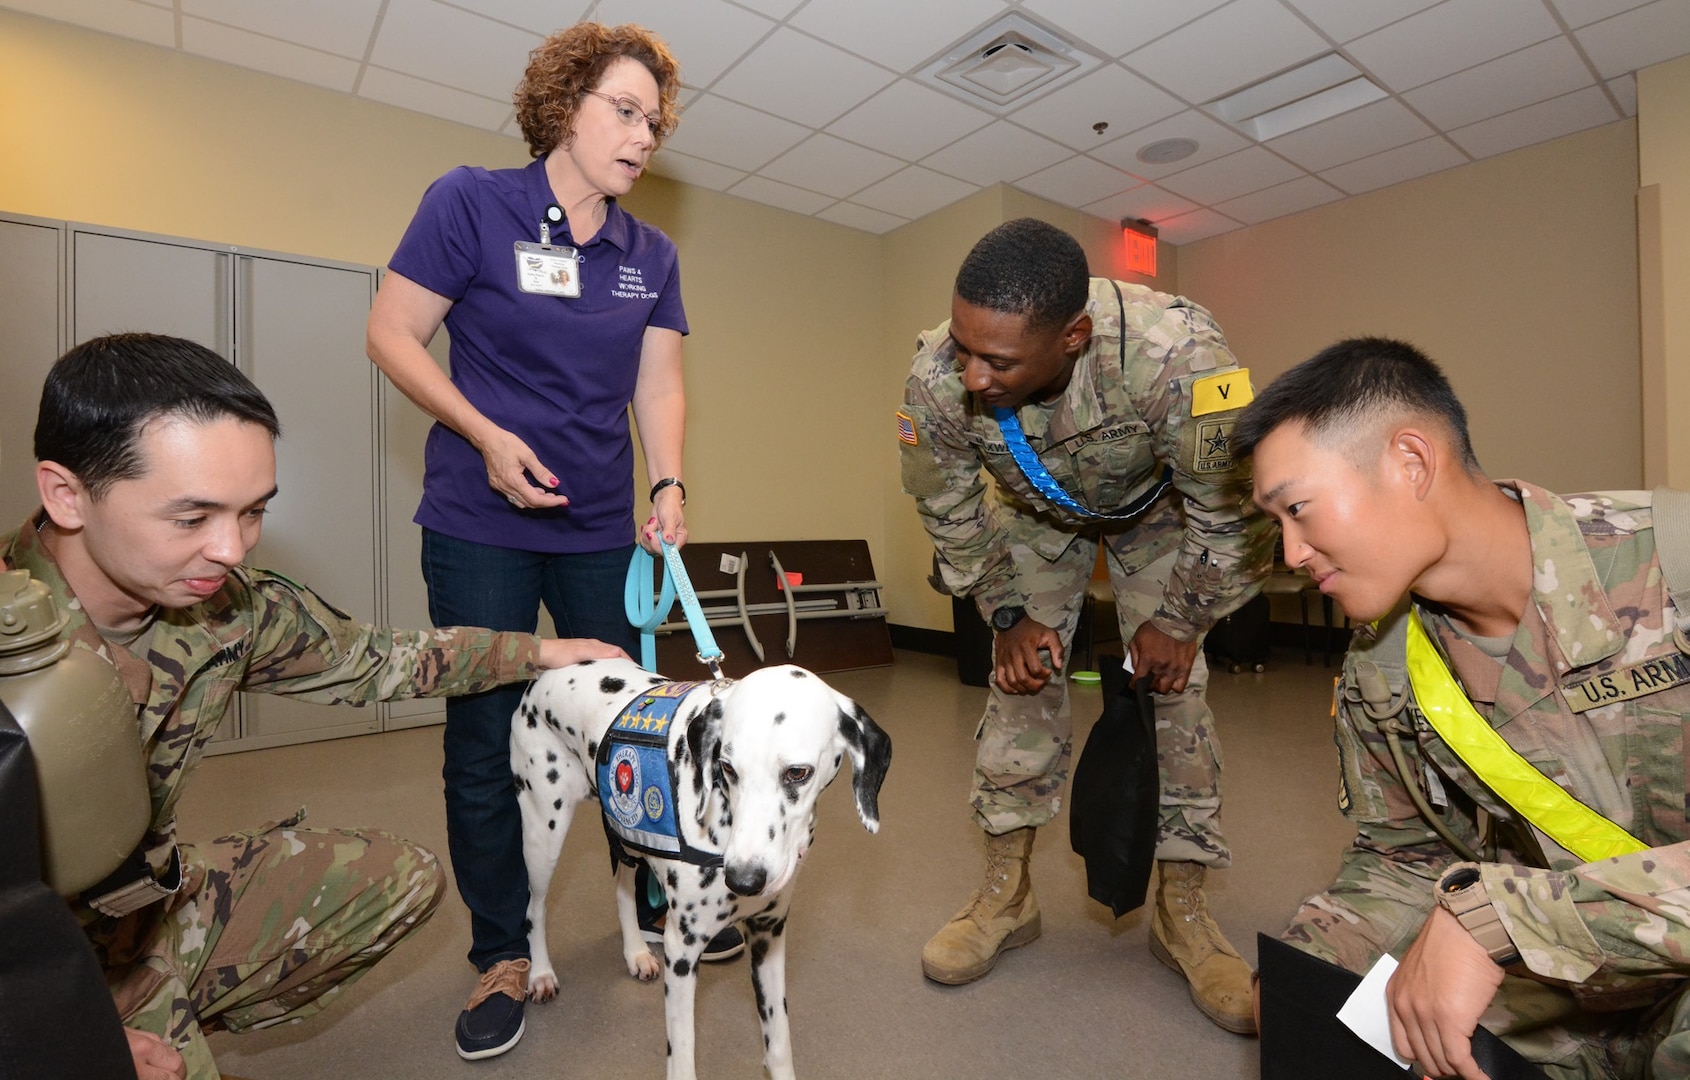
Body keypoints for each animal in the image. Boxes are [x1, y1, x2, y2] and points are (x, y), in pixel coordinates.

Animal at [507, 655, 892, 1074]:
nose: (743, 880)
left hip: (627, 838)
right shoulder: (681, 952)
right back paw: (541, 974)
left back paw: (635, 952)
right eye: (728, 767)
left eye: (797, 772)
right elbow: (683, 1054)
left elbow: (778, 1043)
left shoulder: (769, 935)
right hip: (543, 836)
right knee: (533, 909)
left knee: (622, 887)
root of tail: (543, 676)